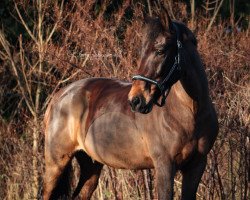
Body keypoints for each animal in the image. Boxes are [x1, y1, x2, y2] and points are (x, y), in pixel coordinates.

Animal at [43, 8, 219, 200]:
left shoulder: (196, 166)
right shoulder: (164, 165)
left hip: (91, 165)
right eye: (141, 51)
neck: (190, 112)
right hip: (56, 164)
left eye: (160, 50)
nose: (136, 100)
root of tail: (58, 97)